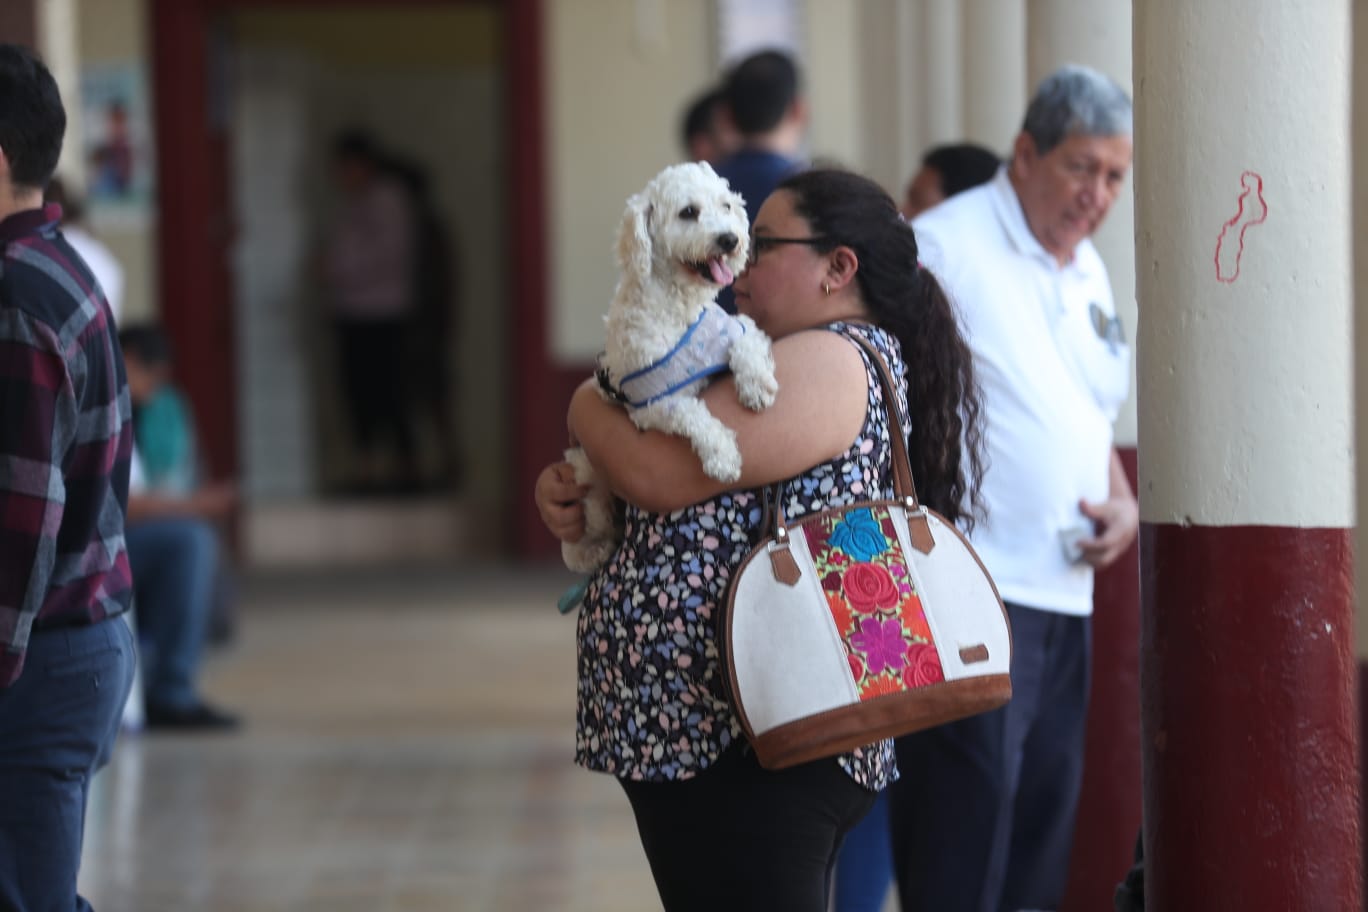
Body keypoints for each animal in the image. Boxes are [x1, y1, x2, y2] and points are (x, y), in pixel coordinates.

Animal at [563, 157, 782, 571]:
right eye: (688, 212)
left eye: (725, 206)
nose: (730, 239)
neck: (678, 303)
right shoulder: (651, 405)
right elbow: (692, 414)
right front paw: (722, 455)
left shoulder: (740, 328)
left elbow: (746, 346)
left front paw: (757, 385)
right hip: (589, 475)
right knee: (596, 515)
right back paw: (597, 546)